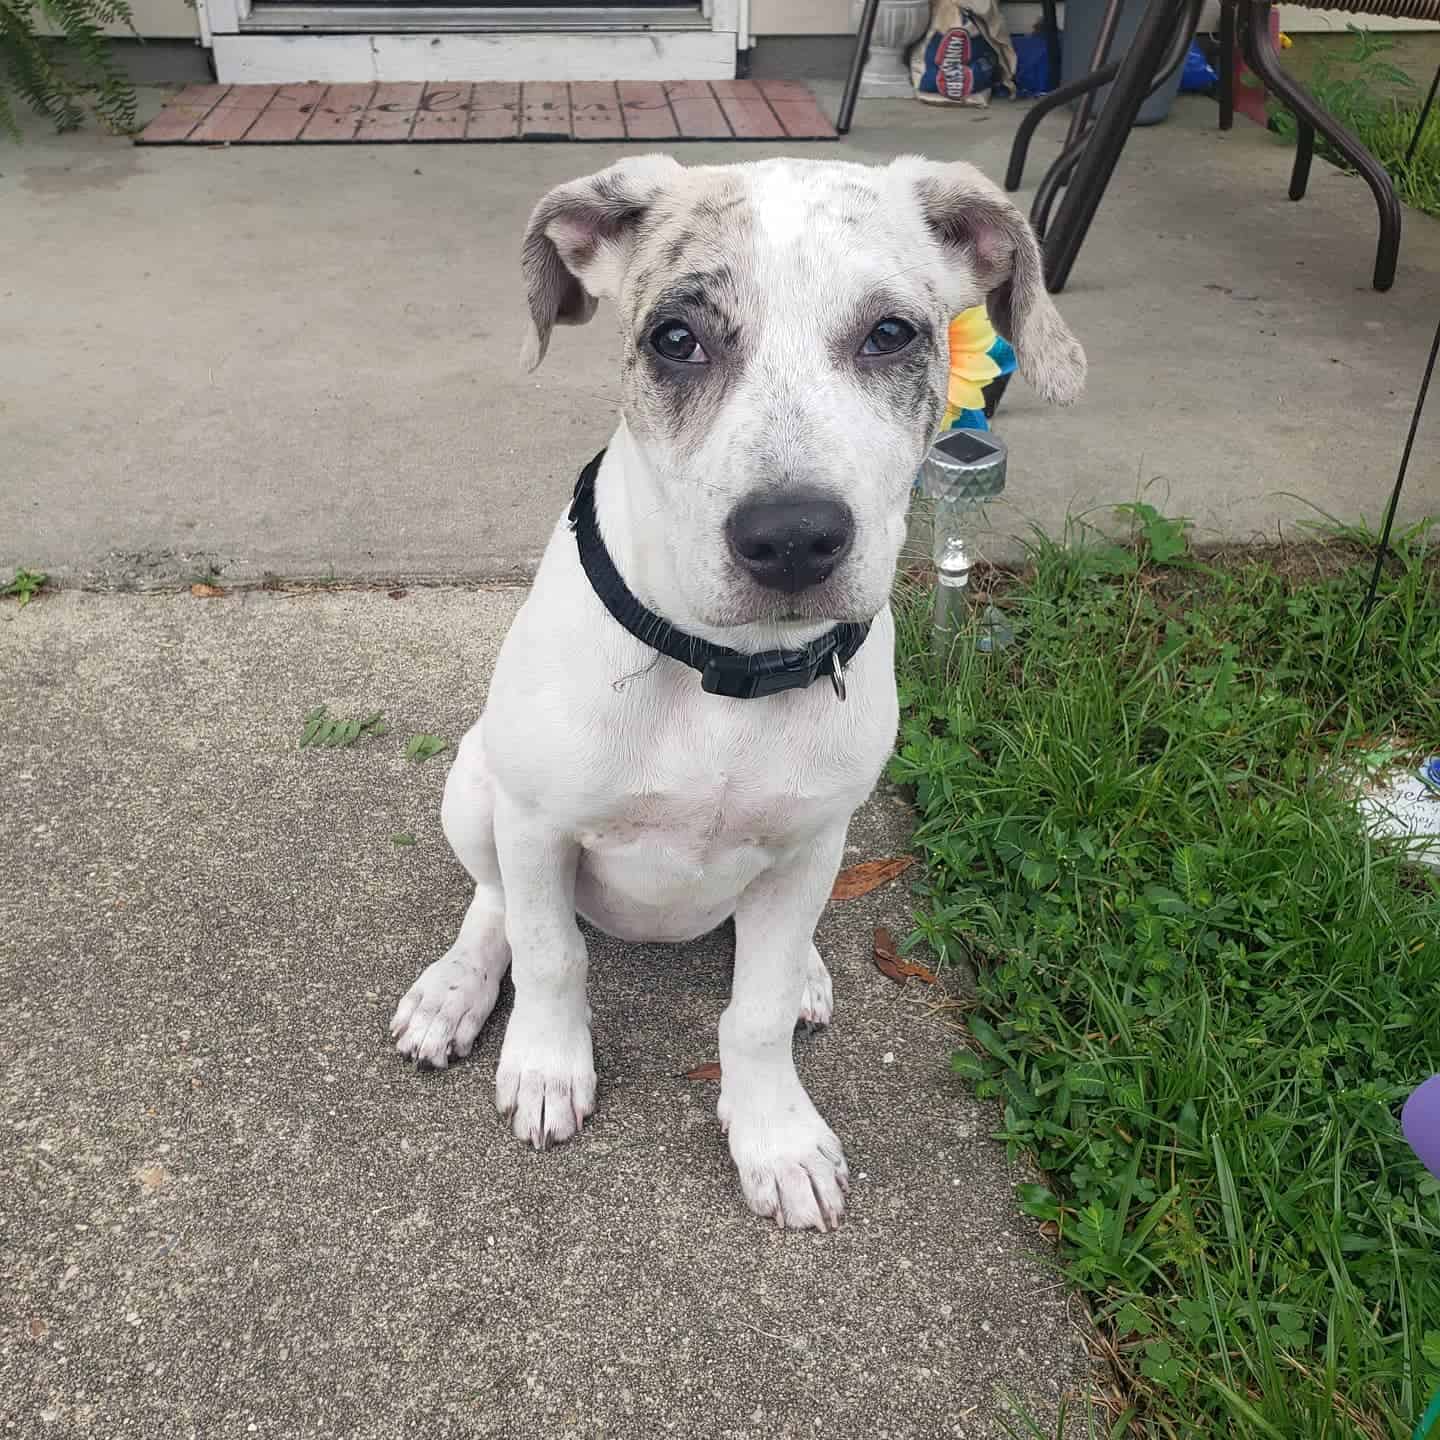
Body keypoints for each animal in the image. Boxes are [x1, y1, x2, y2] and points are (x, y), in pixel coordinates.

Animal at [388, 151, 1082, 1232]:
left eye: (891, 333)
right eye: (675, 339)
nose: (792, 538)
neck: (726, 671)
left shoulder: (809, 844)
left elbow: (751, 1015)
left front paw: (776, 1136)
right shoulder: (539, 823)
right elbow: (549, 954)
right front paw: (547, 1068)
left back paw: (803, 974)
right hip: (474, 782)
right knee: (496, 903)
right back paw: (455, 989)